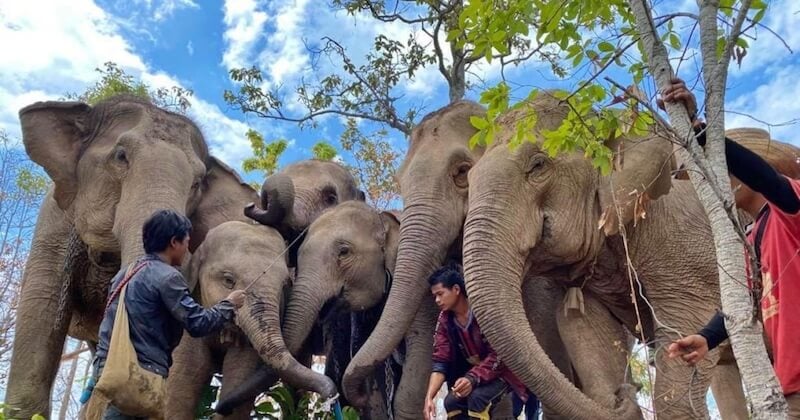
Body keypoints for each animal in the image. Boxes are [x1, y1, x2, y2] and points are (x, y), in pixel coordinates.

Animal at [462, 90, 732, 418]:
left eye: (538, 165)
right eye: (467, 178)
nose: (628, 392)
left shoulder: (685, 245)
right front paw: (613, 396)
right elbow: (590, 332)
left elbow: (689, 331)